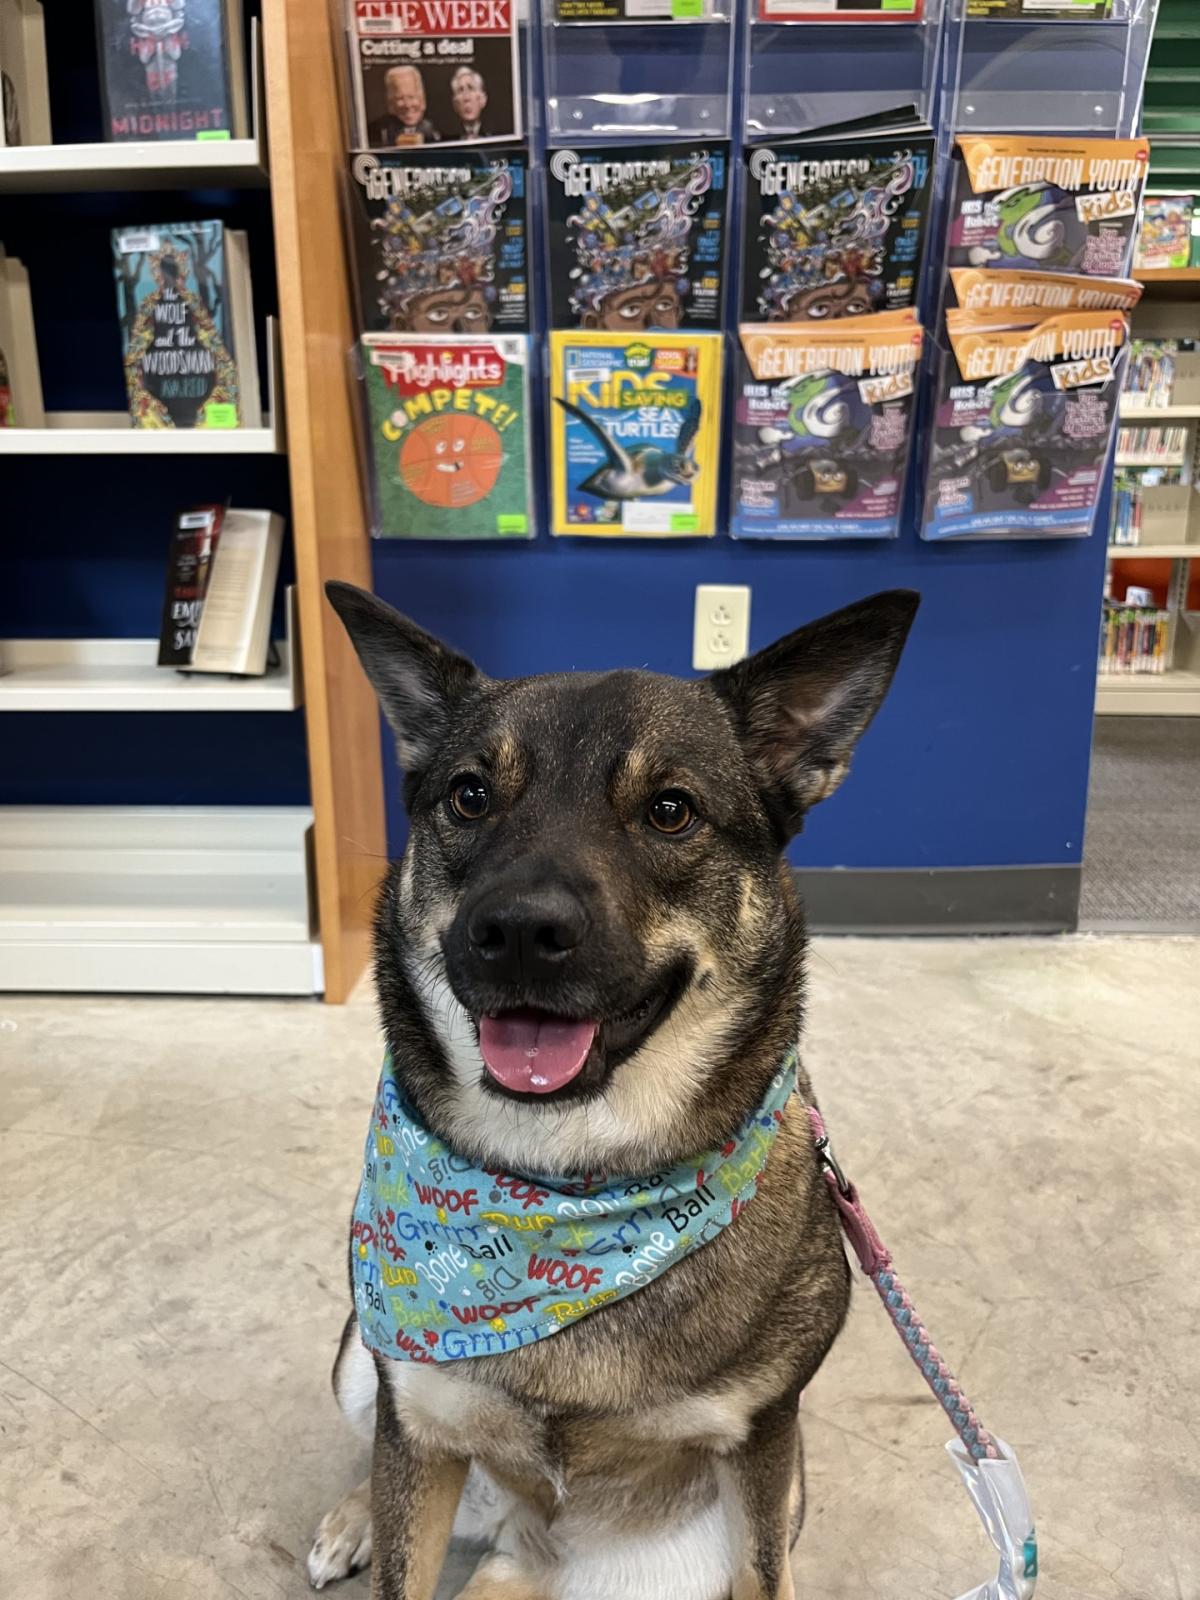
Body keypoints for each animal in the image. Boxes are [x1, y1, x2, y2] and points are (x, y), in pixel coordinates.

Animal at [307, 582, 921, 1593]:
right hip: (363, 1360)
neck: (562, 1182)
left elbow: (767, 1572)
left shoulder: (763, 1443)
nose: (517, 931)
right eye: (469, 796)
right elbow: (404, 1512)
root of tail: (523, 1541)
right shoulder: (417, 1422)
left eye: (670, 811)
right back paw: (352, 1517)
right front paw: (367, 1521)